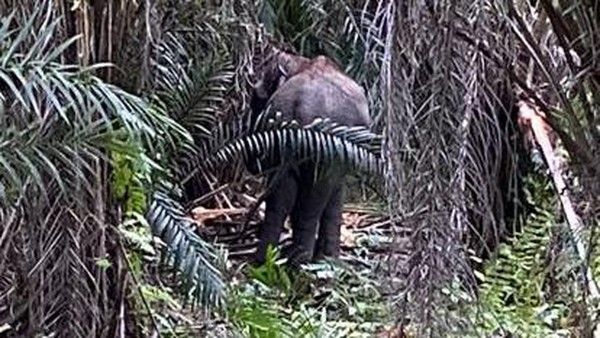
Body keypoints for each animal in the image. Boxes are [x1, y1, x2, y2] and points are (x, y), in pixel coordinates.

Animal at [248, 47, 370, 268]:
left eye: (257, 99)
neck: (302, 63)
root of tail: (300, 105)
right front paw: (329, 258)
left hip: (281, 139)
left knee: (280, 200)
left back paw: (265, 260)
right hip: (324, 149)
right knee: (312, 200)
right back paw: (301, 263)